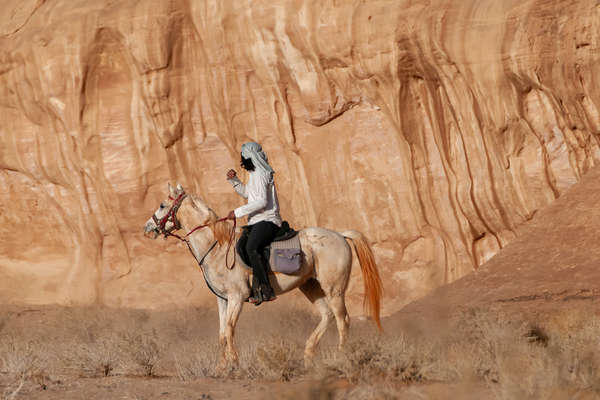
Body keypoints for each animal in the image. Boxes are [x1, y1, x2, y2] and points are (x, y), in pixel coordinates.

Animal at [143, 183, 382, 368]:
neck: (217, 246)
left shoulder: (237, 297)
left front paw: (235, 364)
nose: (148, 228)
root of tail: (340, 235)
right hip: (310, 286)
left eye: (162, 205)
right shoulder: (222, 299)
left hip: (334, 290)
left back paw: (341, 357)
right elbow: (221, 334)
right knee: (327, 316)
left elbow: (229, 330)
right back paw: (308, 356)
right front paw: (221, 368)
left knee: (343, 321)